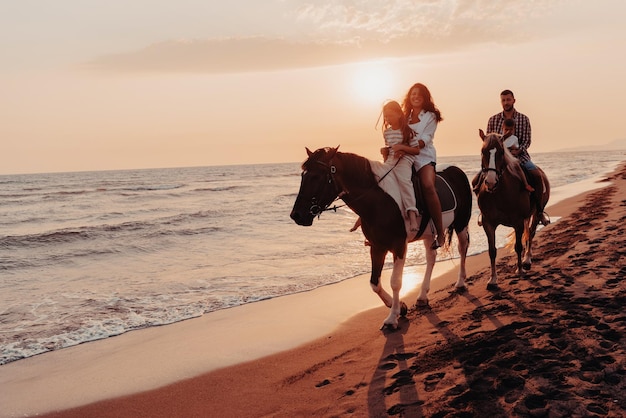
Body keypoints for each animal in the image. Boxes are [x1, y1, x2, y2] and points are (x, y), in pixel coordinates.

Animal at [290, 147, 470, 330]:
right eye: (303, 176)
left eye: (316, 176)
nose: (296, 215)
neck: (378, 202)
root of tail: (456, 170)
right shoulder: (377, 247)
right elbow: (374, 283)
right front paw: (400, 307)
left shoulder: (399, 245)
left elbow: (396, 282)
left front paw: (392, 318)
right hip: (429, 234)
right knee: (431, 258)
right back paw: (422, 297)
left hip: (462, 222)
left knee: (463, 248)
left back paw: (460, 283)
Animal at [476, 131, 548, 288]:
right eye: (483, 151)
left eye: (501, 152)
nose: (491, 182)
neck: (499, 194)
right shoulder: (488, 223)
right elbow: (492, 251)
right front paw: (493, 279)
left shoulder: (517, 222)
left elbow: (518, 246)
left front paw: (520, 270)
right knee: (528, 233)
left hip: (536, 213)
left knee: (531, 233)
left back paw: (527, 260)